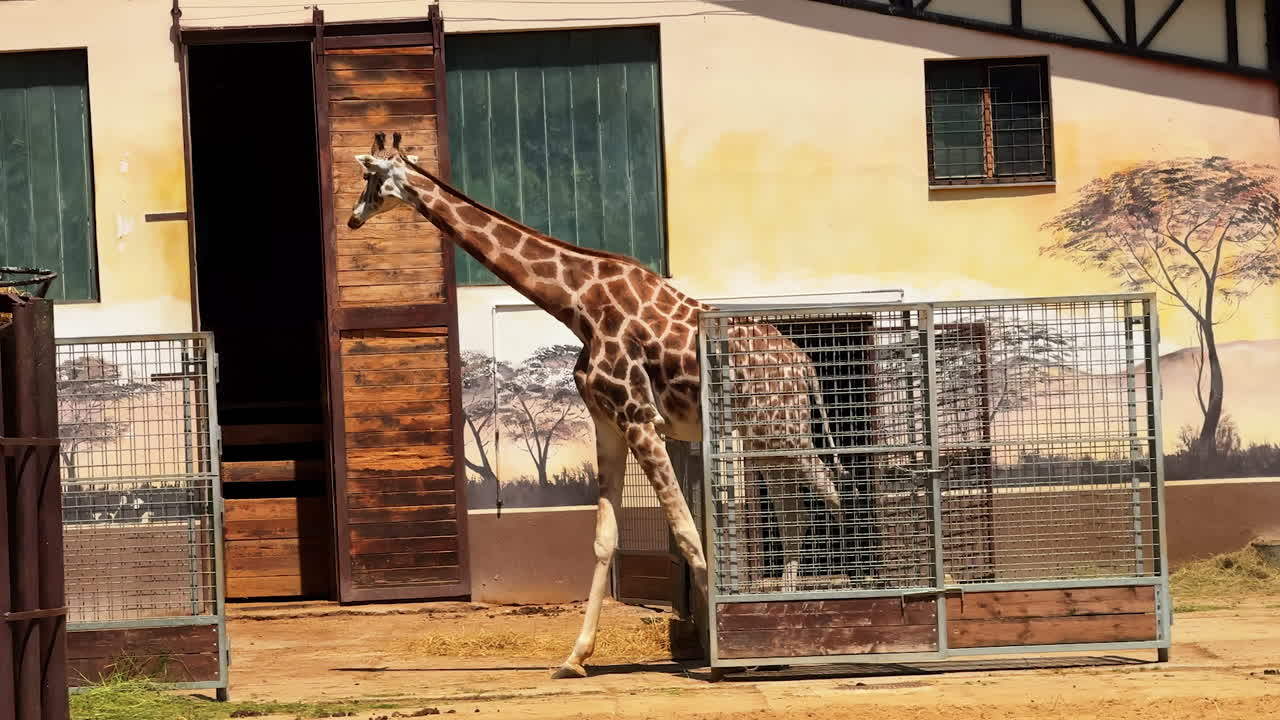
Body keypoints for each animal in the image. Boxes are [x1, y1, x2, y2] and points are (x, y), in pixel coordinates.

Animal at [347, 132, 847, 678]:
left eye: (369, 178)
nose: (352, 218)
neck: (576, 305)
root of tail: (804, 363)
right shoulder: (608, 422)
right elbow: (605, 538)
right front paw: (576, 656)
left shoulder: (640, 418)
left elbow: (686, 531)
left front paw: (717, 653)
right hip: (762, 435)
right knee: (795, 511)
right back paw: (785, 619)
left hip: (783, 428)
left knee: (830, 491)